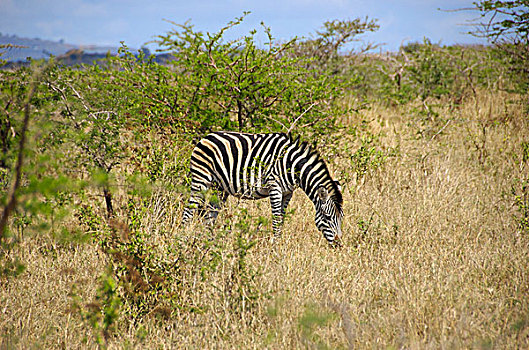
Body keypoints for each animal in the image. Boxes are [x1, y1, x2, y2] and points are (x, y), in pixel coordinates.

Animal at [182, 131, 344, 243]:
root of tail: (206, 137)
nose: (339, 244)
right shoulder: (275, 187)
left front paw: (278, 244)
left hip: (220, 188)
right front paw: (275, 248)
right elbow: (276, 219)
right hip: (200, 179)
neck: (291, 166)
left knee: (210, 215)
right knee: (188, 211)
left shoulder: (288, 192)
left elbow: (282, 218)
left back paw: (209, 242)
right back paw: (182, 239)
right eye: (328, 217)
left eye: (341, 218)